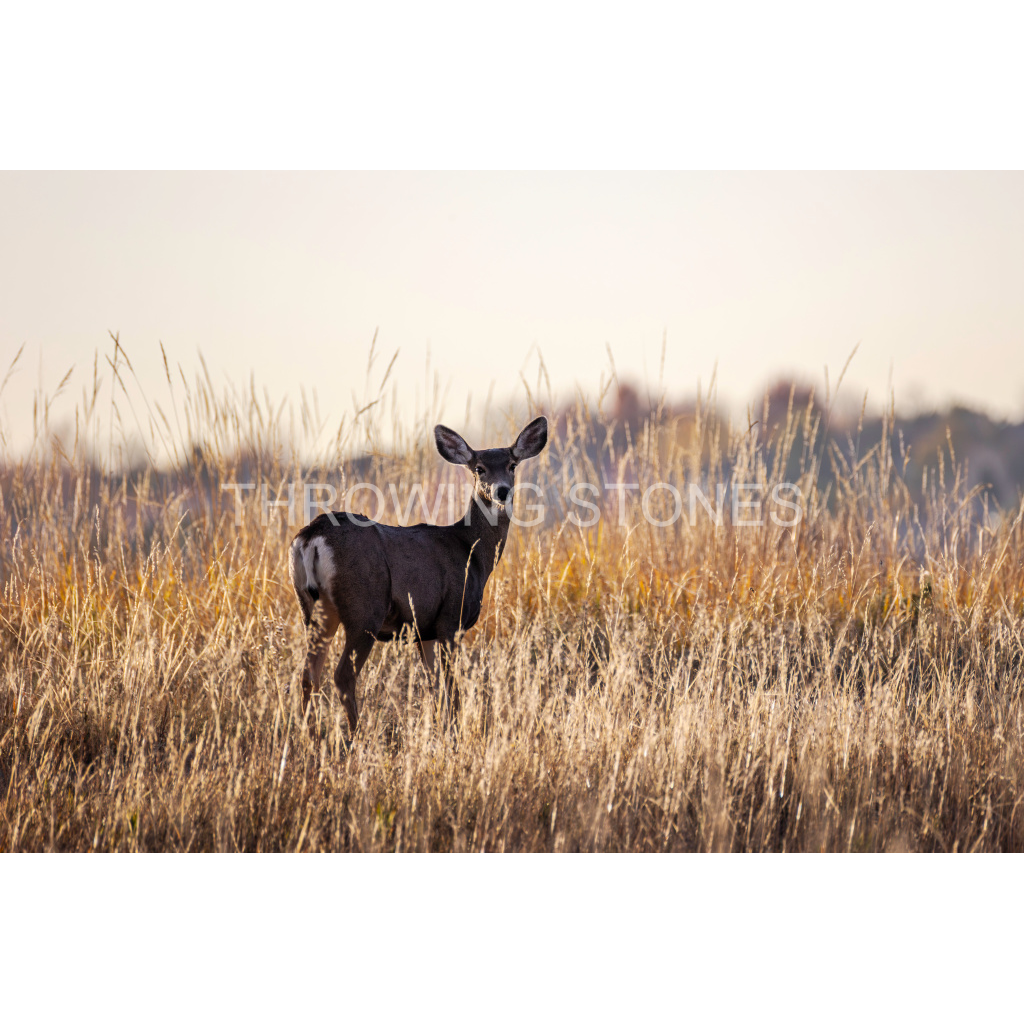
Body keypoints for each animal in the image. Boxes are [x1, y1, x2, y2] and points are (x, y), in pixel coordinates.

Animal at [288, 416, 548, 734]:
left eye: (512, 464)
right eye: (479, 468)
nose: (501, 491)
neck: (471, 551)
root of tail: (311, 537)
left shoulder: (425, 630)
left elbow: (434, 688)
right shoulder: (451, 618)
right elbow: (452, 689)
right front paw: (455, 733)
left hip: (313, 610)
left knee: (308, 675)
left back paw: (309, 737)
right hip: (364, 610)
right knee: (342, 676)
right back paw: (356, 737)